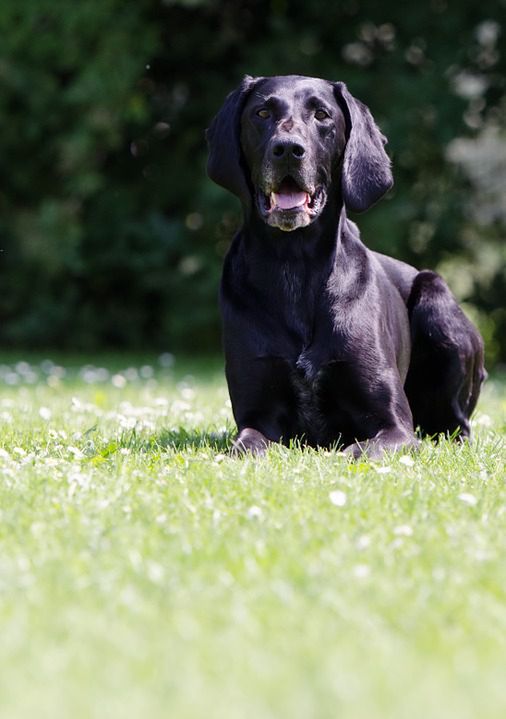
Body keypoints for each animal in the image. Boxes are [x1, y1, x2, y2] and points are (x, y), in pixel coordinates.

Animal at [207, 76, 486, 458]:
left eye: (322, 115)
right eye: (262, 113)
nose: (288, 149)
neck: (296, 262)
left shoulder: (395, 426)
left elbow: (359, 449)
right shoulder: (257, 416)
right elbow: (248, 445)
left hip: (438, 305)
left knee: (456, 426)